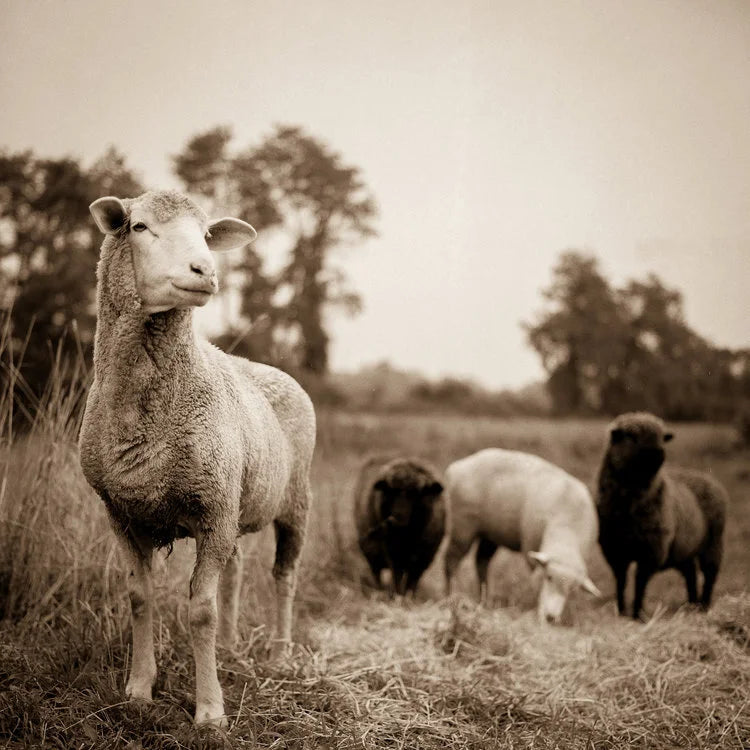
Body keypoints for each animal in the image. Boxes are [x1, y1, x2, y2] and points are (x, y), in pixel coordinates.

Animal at [78, 190, 316, 725]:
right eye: (139, 226)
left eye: (207, 234)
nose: (205, 270)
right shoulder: (120, 511)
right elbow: (139, 596)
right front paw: (138, 688)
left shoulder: (212, 509)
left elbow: (200, 611)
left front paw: (209, 711)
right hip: (234, 502)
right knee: (236, 571)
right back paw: (229, 647)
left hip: (292, 501)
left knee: (284, 577)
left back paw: (279, 654)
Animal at [354, 456, 445, 596]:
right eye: (392, 492)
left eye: (416, 494)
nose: (398, 517)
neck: (407, 535)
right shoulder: (393, 554)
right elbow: (397, 576)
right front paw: (397, 596)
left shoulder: (423, 558)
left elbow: (412, 582)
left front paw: (409, 597)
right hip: (370, 551)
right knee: (376, 573)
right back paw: (379, 591)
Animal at [444, 448, 601, 624]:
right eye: (549, 577)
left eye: (571, 590)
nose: (550, 617)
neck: (568, 522)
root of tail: (457, 466)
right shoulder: (530, 545)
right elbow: (535, 578)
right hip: (463, 525)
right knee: (451, 559)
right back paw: (451, 595)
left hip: (490, 533)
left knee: (481, 561)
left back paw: (485, 600)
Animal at [597, 411, 727, 620]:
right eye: (631, 436)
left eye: (661, 437)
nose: (659, 453)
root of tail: (705, 476)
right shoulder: (615, 550)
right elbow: (621, 582)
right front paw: (622, 611)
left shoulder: (652, 549)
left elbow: (640, 582)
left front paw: (638, 614)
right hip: (684, 549)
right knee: (690, 574)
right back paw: (692, 605)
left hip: (713, 543)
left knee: (709, 574)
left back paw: (704, 606)